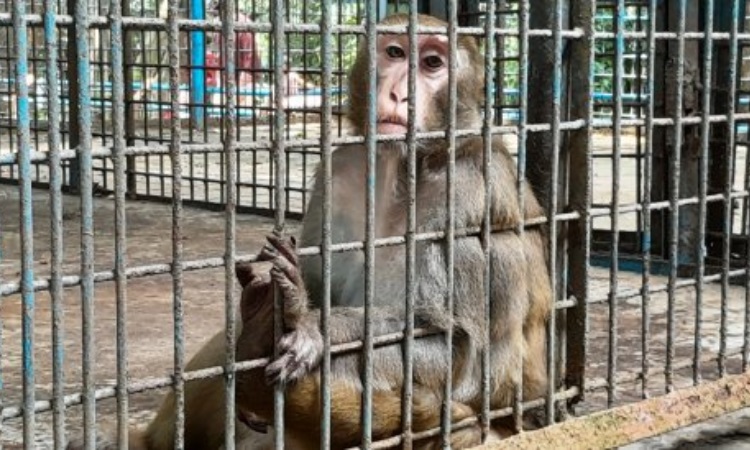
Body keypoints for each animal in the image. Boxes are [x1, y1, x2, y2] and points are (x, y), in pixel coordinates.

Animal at [232, 12, 556, 448]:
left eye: (433, 63)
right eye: (396, 53)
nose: (399, 94)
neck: (402, 168)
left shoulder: (467, 189)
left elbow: (454, 344)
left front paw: (308, 324)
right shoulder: (342, 170)